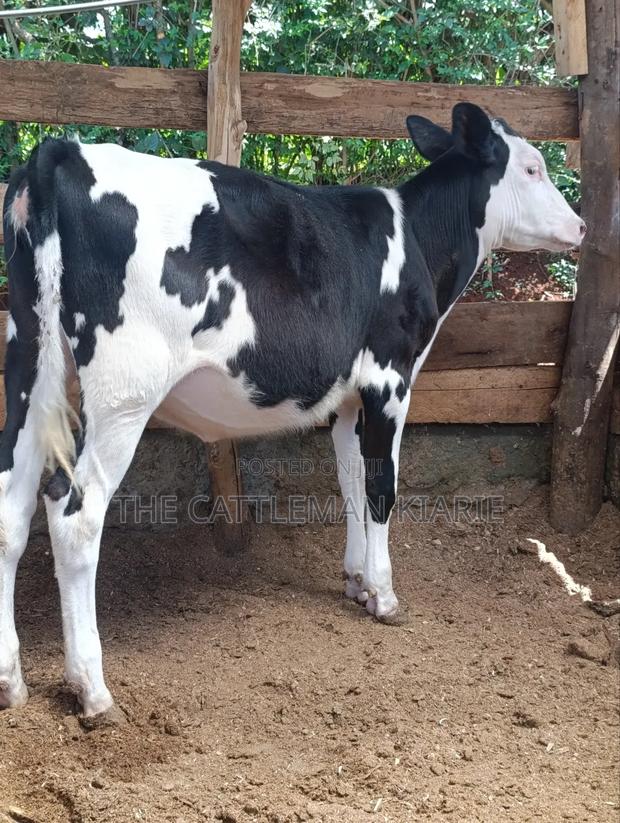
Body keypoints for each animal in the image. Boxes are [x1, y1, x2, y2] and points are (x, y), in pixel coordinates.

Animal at [0, 103, 584, 717]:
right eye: (532, 167)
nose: (581, 226)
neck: (420, 242)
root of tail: (59, 152)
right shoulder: (390, 377)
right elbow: (382, 487)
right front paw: (385, 596)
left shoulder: (349, 400)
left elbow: (351, 482)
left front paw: (357, 580)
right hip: (124, 388)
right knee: (75, 513)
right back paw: (91, 688)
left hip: (31, 357)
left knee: (12, 502)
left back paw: (11, 680)